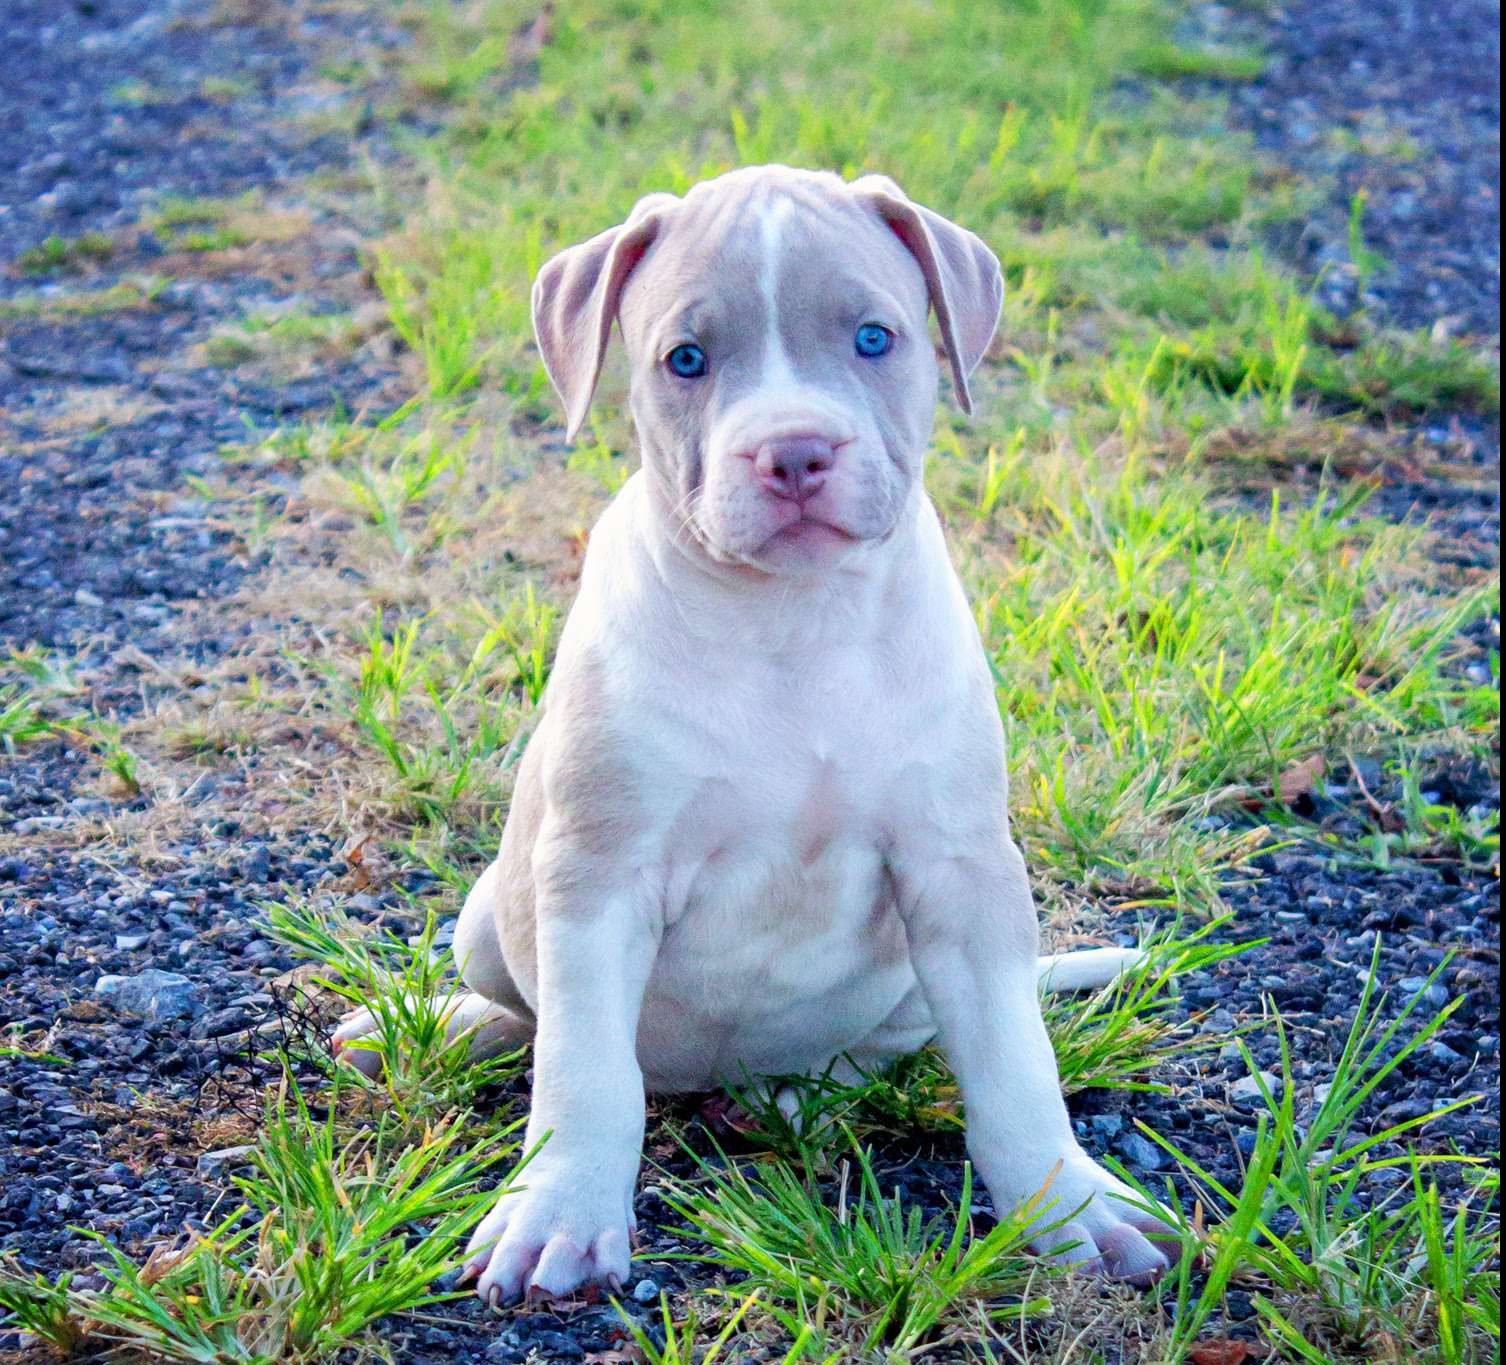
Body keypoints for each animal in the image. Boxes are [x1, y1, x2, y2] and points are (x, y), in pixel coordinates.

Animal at [335, 164, 1168, 1301]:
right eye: (685, 359)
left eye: (874, 337)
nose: (795, 452)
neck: (792, 620)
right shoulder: (596, 872)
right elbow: (585, 1069)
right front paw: (562, 1212)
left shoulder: (961, 868)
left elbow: (1011, 1060)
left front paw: (1069, 1202)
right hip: (488, 913)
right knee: (536, 1019)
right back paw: (450, 1026)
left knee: (887, 1047)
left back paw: (800, 1095)